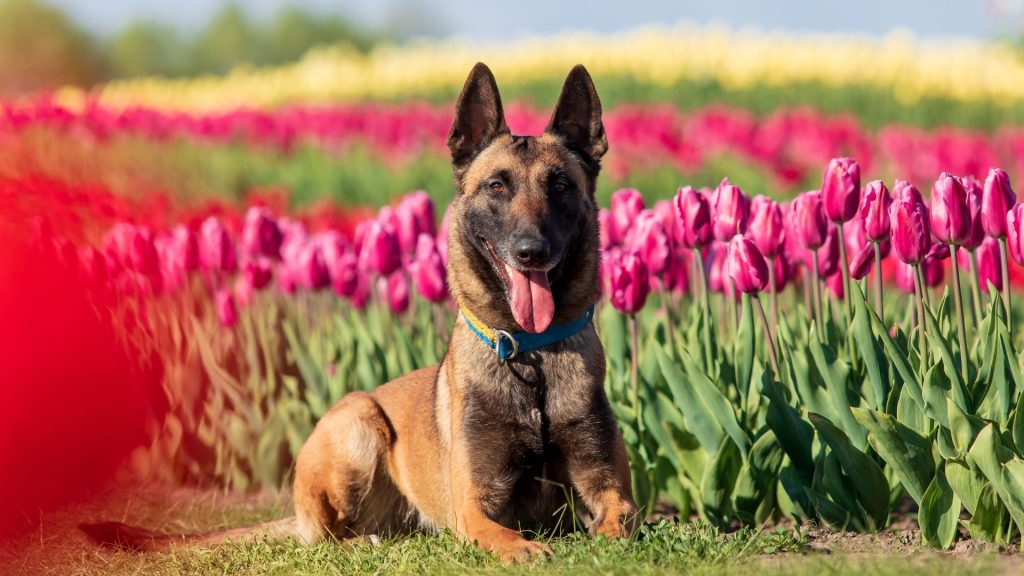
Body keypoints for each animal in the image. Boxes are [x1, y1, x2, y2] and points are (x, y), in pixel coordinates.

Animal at [81, 62, 638, 561]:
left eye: (560, 186)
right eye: (497, 186)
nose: (531, 252)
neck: (531, 354)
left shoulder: (611, 490)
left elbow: (624, 520)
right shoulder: (473, 508)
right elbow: (501, 534)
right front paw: (525, 549)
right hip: (359, 423)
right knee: (326, 535)